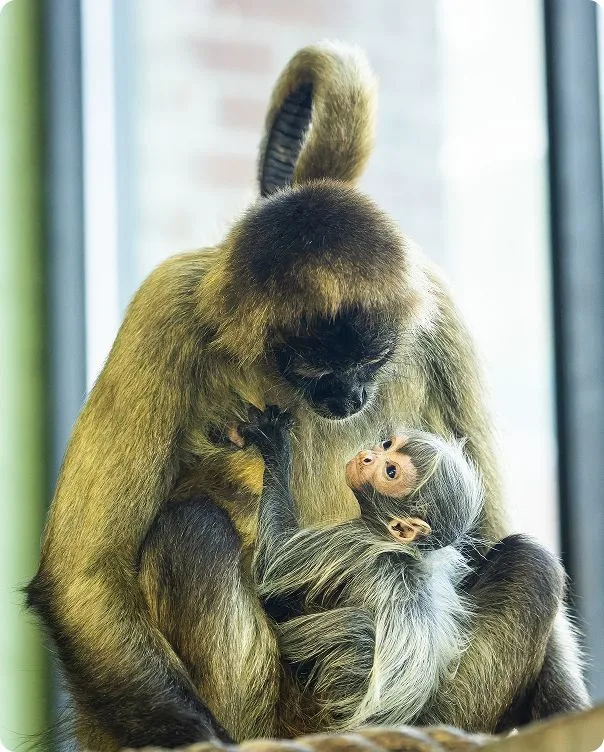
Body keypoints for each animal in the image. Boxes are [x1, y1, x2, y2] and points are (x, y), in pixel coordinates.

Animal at [239, 405, 569, 736]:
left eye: (391, 472)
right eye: (387, 446)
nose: (367, 456)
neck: (412, 552)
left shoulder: (353, 541)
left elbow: (271, 565)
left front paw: (274, 445)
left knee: (354, 627)